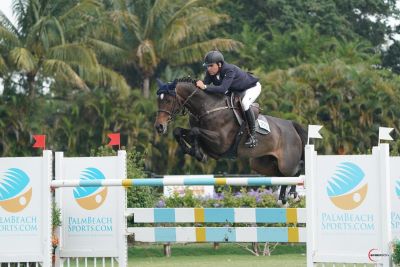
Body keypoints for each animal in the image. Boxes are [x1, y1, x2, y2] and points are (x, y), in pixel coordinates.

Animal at [153, 78, 306, 204]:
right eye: (158, 101)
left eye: (168, 100)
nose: (159, 127)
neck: (207, 107)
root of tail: (292, 125)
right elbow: (179, 131)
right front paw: (195, 152)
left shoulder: (220, 143)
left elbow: (195, 131)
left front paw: (198, 153)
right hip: (261, 164)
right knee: (282, 176)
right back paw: (282, 199)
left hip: (286, 163)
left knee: (295, 171)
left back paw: (293, 195)